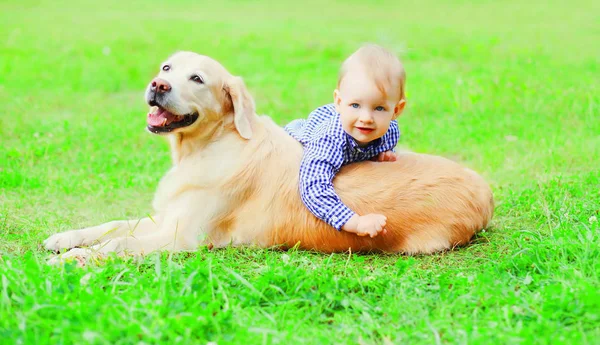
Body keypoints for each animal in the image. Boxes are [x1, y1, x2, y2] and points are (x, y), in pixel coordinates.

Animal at [44, 51, 494, 260]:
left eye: (197, 78)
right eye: (167, 68)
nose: (158, 85)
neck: (209, 145)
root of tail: (486, 190)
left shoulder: (181, 237)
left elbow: (118, 243)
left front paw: (76, 260)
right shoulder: (166, 217)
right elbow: (112, 225)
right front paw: (65, 239)